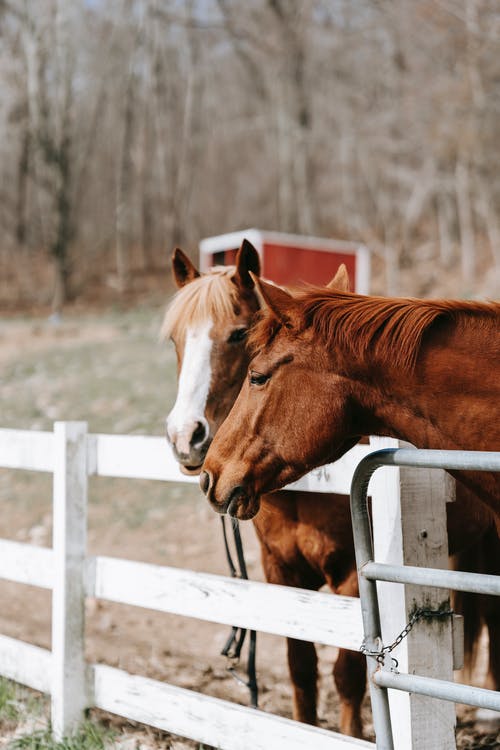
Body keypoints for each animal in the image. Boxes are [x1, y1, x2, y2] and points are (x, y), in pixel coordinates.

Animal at [165, 244, 500, 736]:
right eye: (174, 340)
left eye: (249, 358)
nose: (188, 443)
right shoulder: (280, 571)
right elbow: (301, 666)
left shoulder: (350, 576)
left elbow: (346, 674)